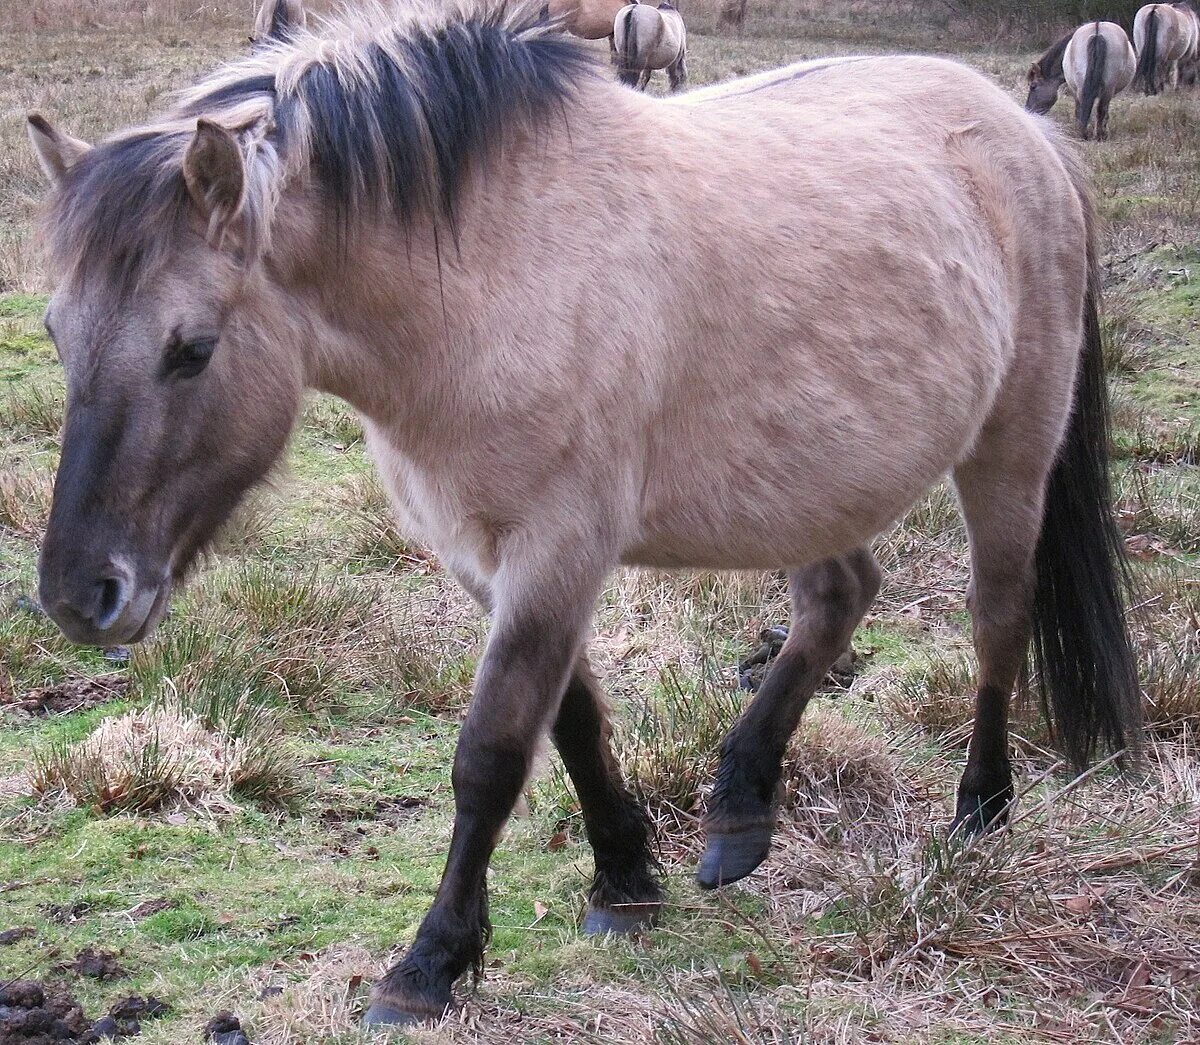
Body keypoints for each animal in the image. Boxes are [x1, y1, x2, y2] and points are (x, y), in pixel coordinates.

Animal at [23, 0, 1137, 1031]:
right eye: (58, 332)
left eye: (192, 350)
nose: (81, 595)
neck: (494, 267)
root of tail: (1031, 137)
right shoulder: (489, 556)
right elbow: (573, 720)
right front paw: (626, 877)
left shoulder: (558, 549)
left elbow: (491, 753)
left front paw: (429, 962)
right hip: (816, 481)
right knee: (839, 596)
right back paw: (740, 810)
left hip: (1009, 451)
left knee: (997, 619)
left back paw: (980, 808)